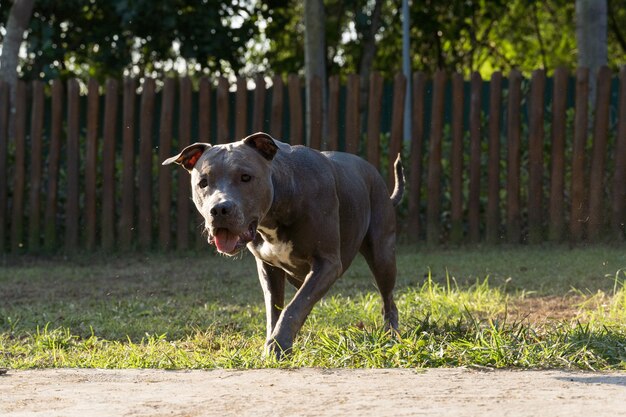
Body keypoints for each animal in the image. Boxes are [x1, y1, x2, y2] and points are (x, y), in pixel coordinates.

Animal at [162, 132, 404, 356]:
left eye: (245, 177)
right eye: (203, 183)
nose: (220, 209)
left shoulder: (328, 263)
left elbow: (294, 306)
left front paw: (278, 346)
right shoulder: (268, 268)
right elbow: (276, 310)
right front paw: (275, 341)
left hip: (382, 256)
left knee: (388, 300)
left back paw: (391, 334)